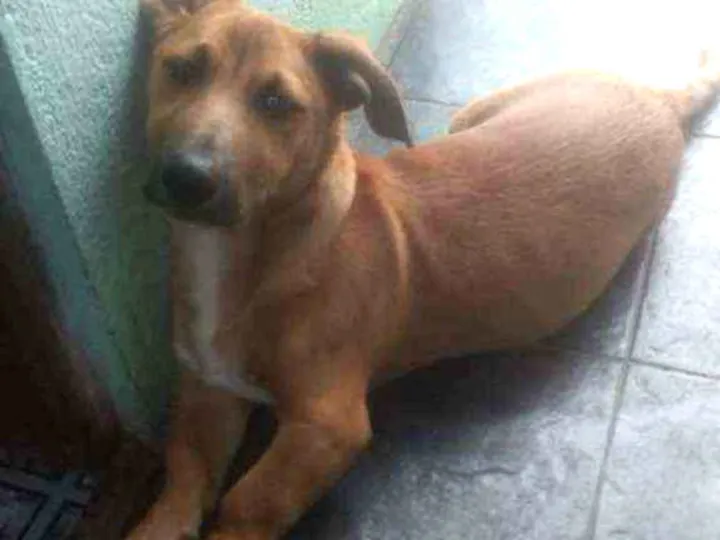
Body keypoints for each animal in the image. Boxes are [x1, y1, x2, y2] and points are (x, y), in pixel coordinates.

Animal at [128, 0, 720, 538]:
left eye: (276, 103)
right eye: (182, 70)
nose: (187, 178)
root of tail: (659, 99)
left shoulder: (329, 422)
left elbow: (249, 501)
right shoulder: (208, 388)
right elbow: (184, 476)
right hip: (470, 115)